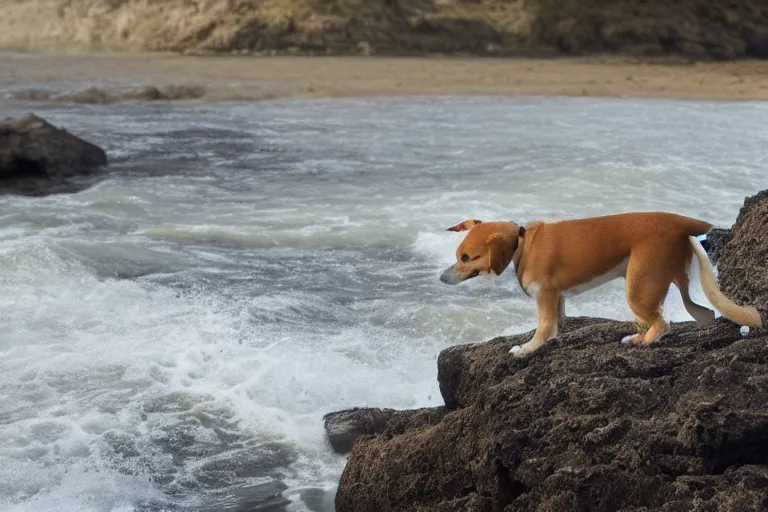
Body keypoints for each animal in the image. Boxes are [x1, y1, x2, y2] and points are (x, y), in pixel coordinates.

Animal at [438, 212, 760, 356]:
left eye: (466, 257)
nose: (441, 278)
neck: (522, 242)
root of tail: (679, 223)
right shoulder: (556, 298)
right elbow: (554, 324)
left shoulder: (545, 295)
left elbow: (543, 327)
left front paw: (528, 348)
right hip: (671, 280)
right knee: (702, 312)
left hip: (638, 286)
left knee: (662, 323)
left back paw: (642, 340)